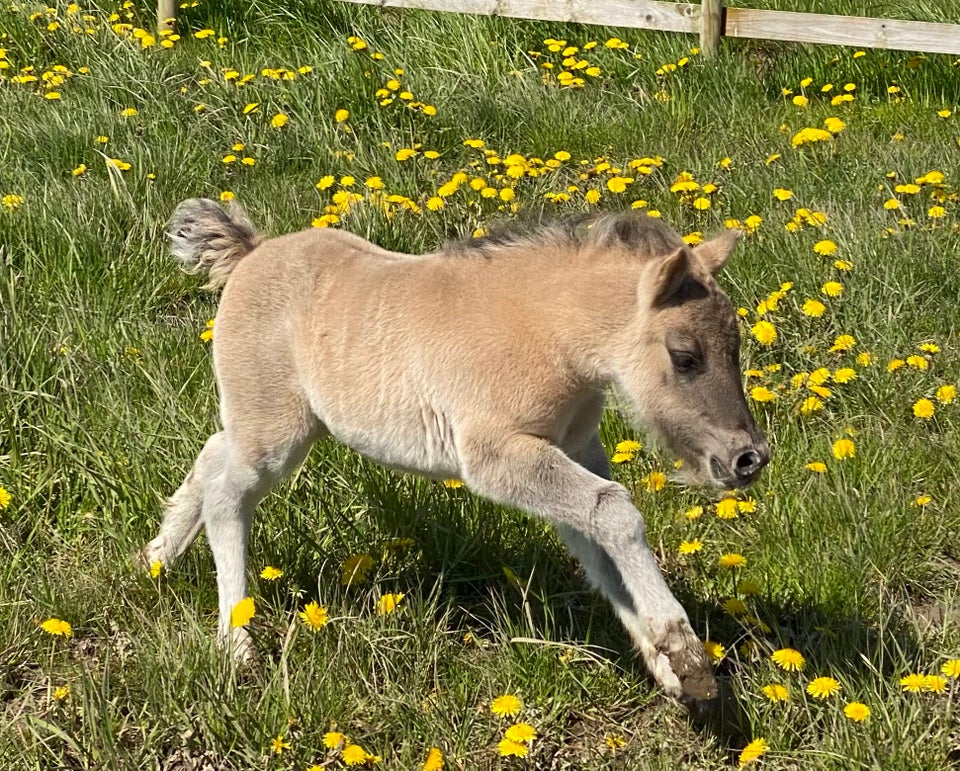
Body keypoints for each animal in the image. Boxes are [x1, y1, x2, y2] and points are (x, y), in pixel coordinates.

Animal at [142, 201, 768, 704]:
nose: (749, 458)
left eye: (736, 346)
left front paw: (668, 669)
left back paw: (157, 560)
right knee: (227, 494)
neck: (544, 333)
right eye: (685, 356)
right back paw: (237, 645)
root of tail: (252, 253)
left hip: (270, 424)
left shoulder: (574, 450)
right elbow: (614, 510)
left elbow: (599, 543)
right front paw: (686, 654)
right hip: (274, 431)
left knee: (212, 456)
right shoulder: (495, 456)